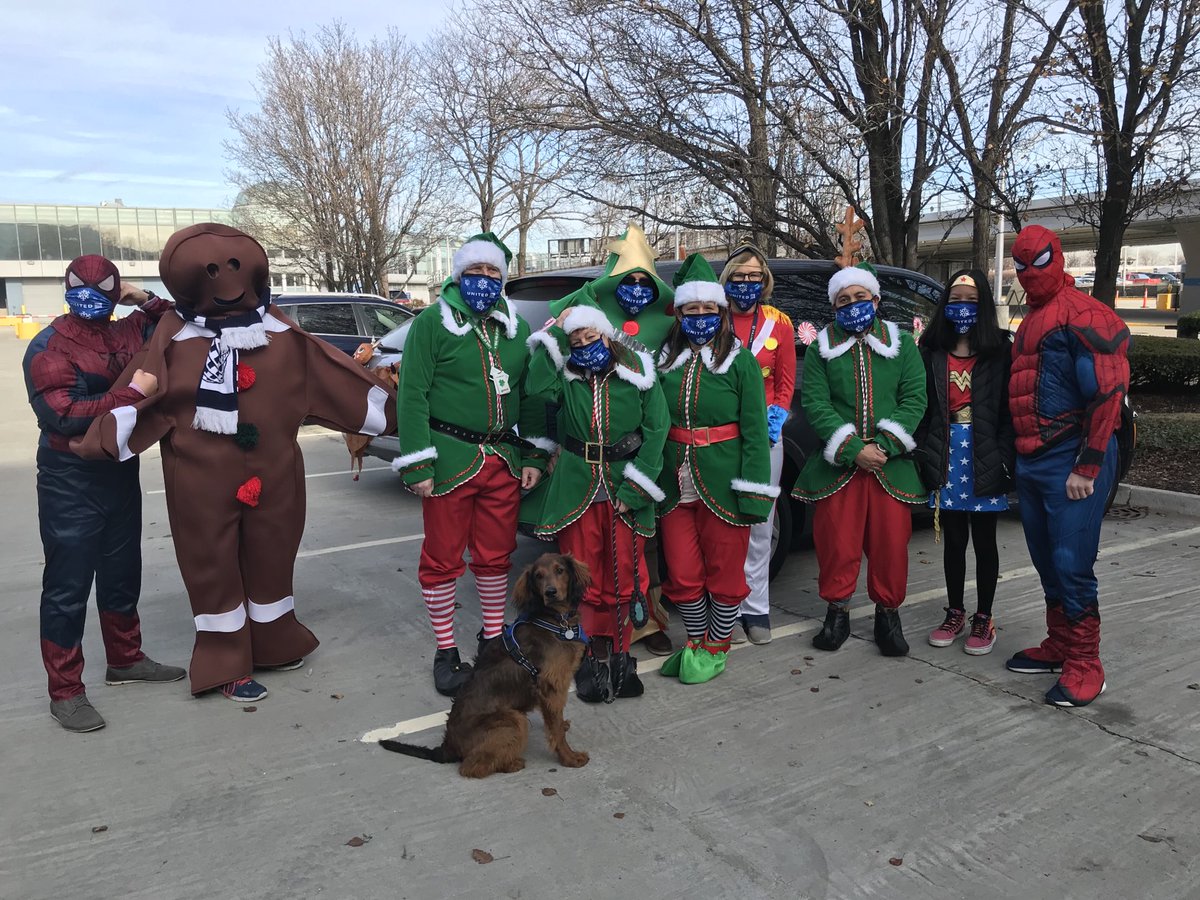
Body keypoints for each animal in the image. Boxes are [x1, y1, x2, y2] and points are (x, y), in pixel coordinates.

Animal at [379, 554, 590, 777]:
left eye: (560, 570)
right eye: (538, 576)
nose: (550, 592)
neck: (555, 620)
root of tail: (448, 746)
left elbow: (556, 721)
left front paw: (563, 726)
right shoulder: (550, 685)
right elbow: (556, 732)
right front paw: (570, 758)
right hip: (513, 719)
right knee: (471, 767)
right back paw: (511, 764)